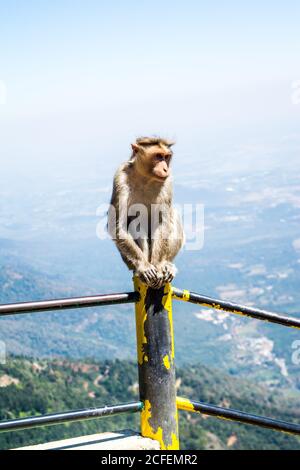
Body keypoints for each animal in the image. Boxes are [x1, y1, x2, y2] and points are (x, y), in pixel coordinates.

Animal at [106, 136, 184, 288]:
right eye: (158, 156)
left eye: (166, 157)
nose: (165, 169)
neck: (146, 178)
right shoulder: (120, 177)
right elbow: (118, 227)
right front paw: (144, 267)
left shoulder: (168, 182)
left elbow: (163, 223)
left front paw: (159, 266)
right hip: (127, 261)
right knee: (135, 221)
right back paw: (142, 269)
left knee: (173, 215)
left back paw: (166, 265)